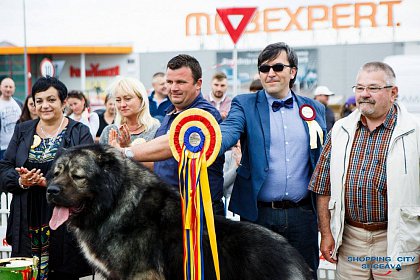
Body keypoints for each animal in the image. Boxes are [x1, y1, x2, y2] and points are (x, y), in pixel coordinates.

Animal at [47, 145, 314, 278]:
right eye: (56, 173)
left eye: (78, 176)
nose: (50, 190)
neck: (115, 202)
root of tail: (296, 259)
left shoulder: (140, 274)